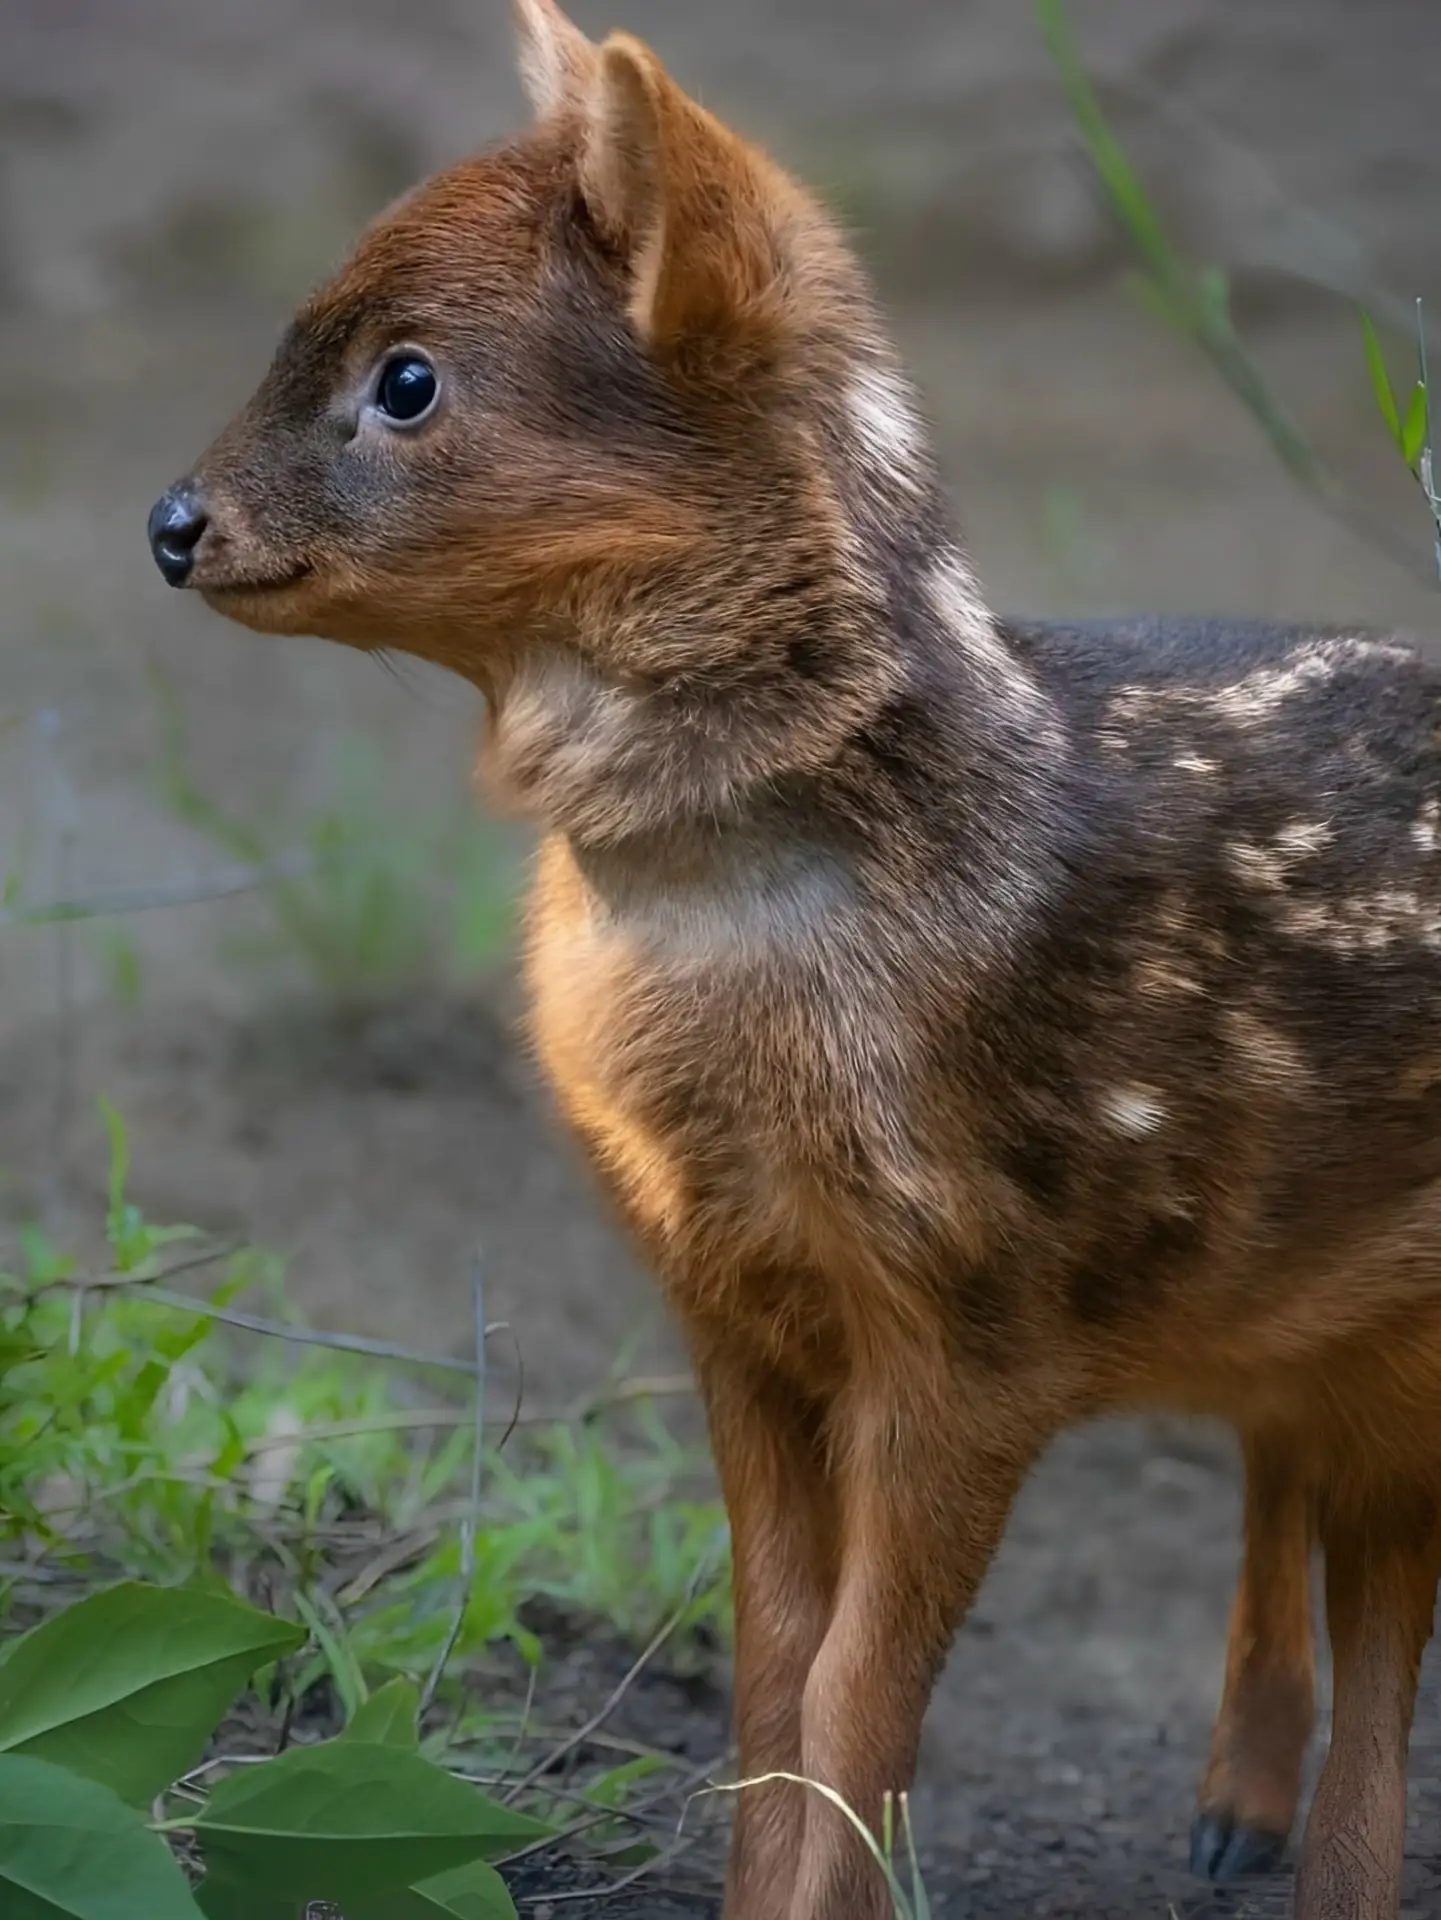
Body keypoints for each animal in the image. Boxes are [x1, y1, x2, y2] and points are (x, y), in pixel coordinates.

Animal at [147, 4, 1441, 1914]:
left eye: (408, 377)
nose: (172, 522)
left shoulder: (980, 1309)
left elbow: (856, 1689)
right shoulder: (729, 1302)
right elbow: (769, 1672)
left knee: (1381, 1636)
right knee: (1287, 1487)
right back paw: (1232, 1809)